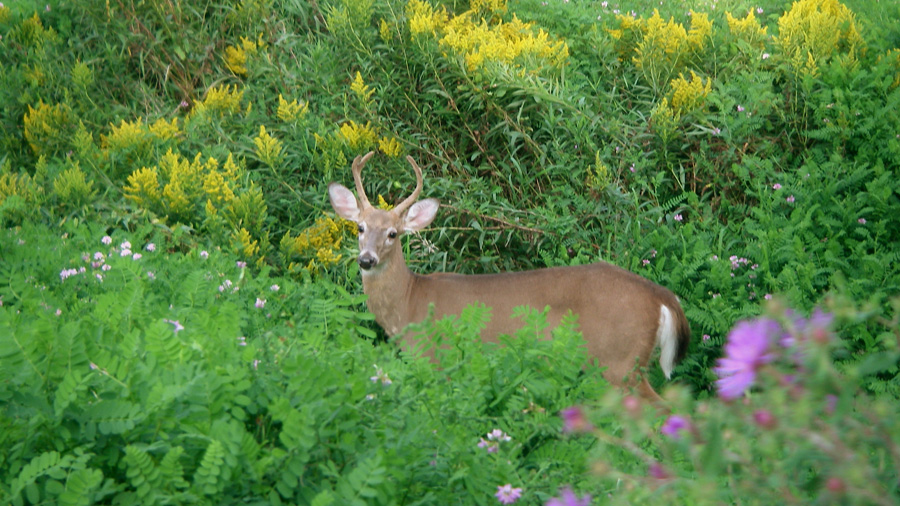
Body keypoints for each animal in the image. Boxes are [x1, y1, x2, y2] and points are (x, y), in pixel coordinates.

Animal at [328, 151, 688, 400]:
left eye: (393, 233)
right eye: (360, 227)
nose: (367, 259)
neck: (408, 304)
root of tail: (662, 297)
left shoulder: (437, 358)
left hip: (620, 360)